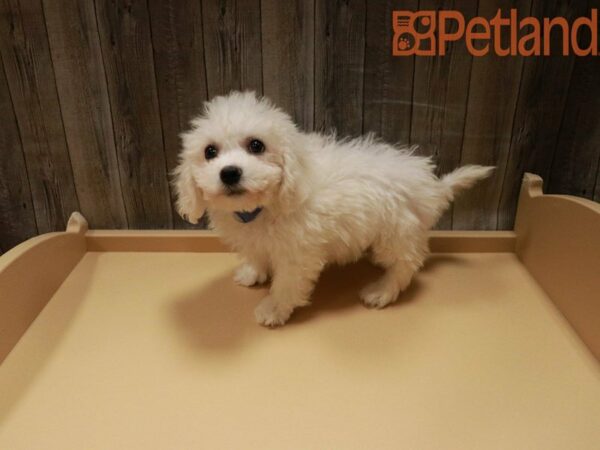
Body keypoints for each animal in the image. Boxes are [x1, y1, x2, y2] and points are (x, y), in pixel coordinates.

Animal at [173, 89, 492, 326]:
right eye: (210, 152)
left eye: (256, 145)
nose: (229, 173)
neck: (262, 208)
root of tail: (431, 188)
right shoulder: (258, 238)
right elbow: (258, 253)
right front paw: (253, 272)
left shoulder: (297, 254)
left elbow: (287, 283)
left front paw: (273, 309)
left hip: (396, 230)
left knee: (407, 263)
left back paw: (382, 290)